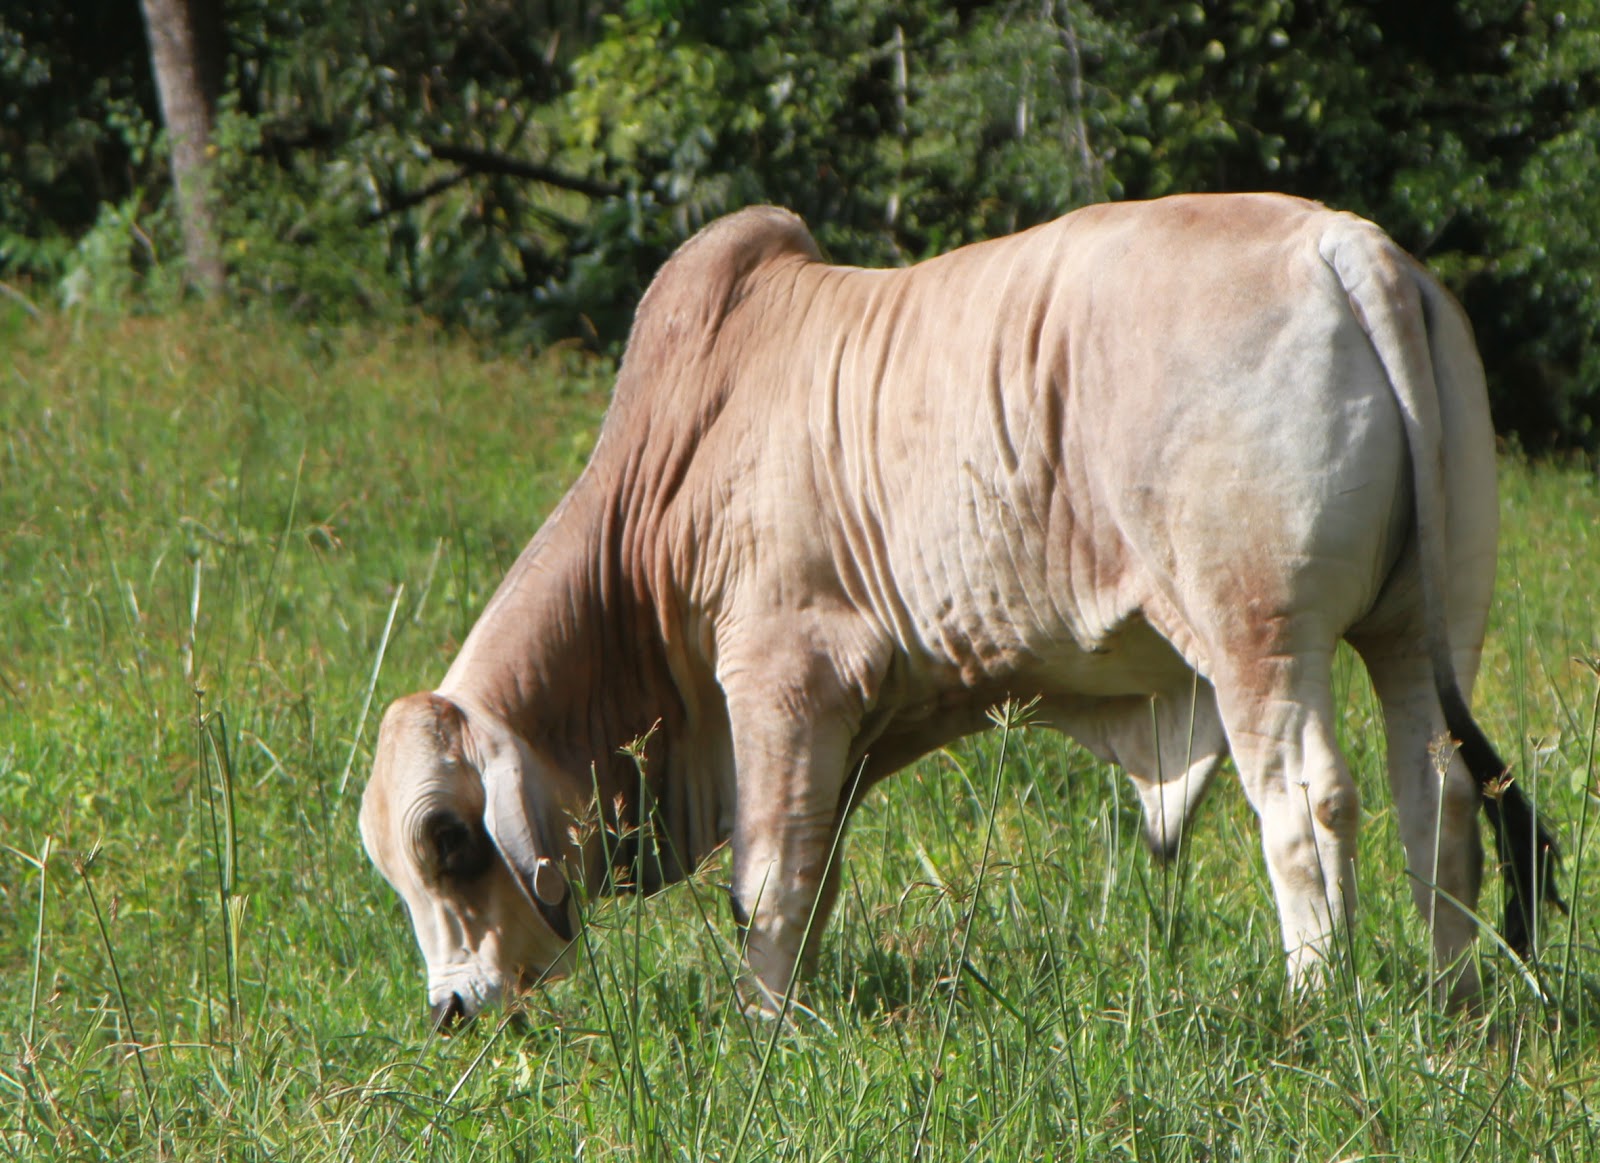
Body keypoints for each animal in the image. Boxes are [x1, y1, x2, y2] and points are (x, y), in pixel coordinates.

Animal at [360, 193, 1561, 1027]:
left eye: (449, 840)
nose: (451, 1008)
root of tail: (1346, 246)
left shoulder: (783, 679)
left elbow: (768, 880)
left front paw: (763, 1025)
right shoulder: (841, 729)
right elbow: (813, 875)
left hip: (1259, 636)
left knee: (1308, 804)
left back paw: (1316, 1002)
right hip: (1421, 630)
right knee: (1439, 792)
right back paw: (1450, 1000)